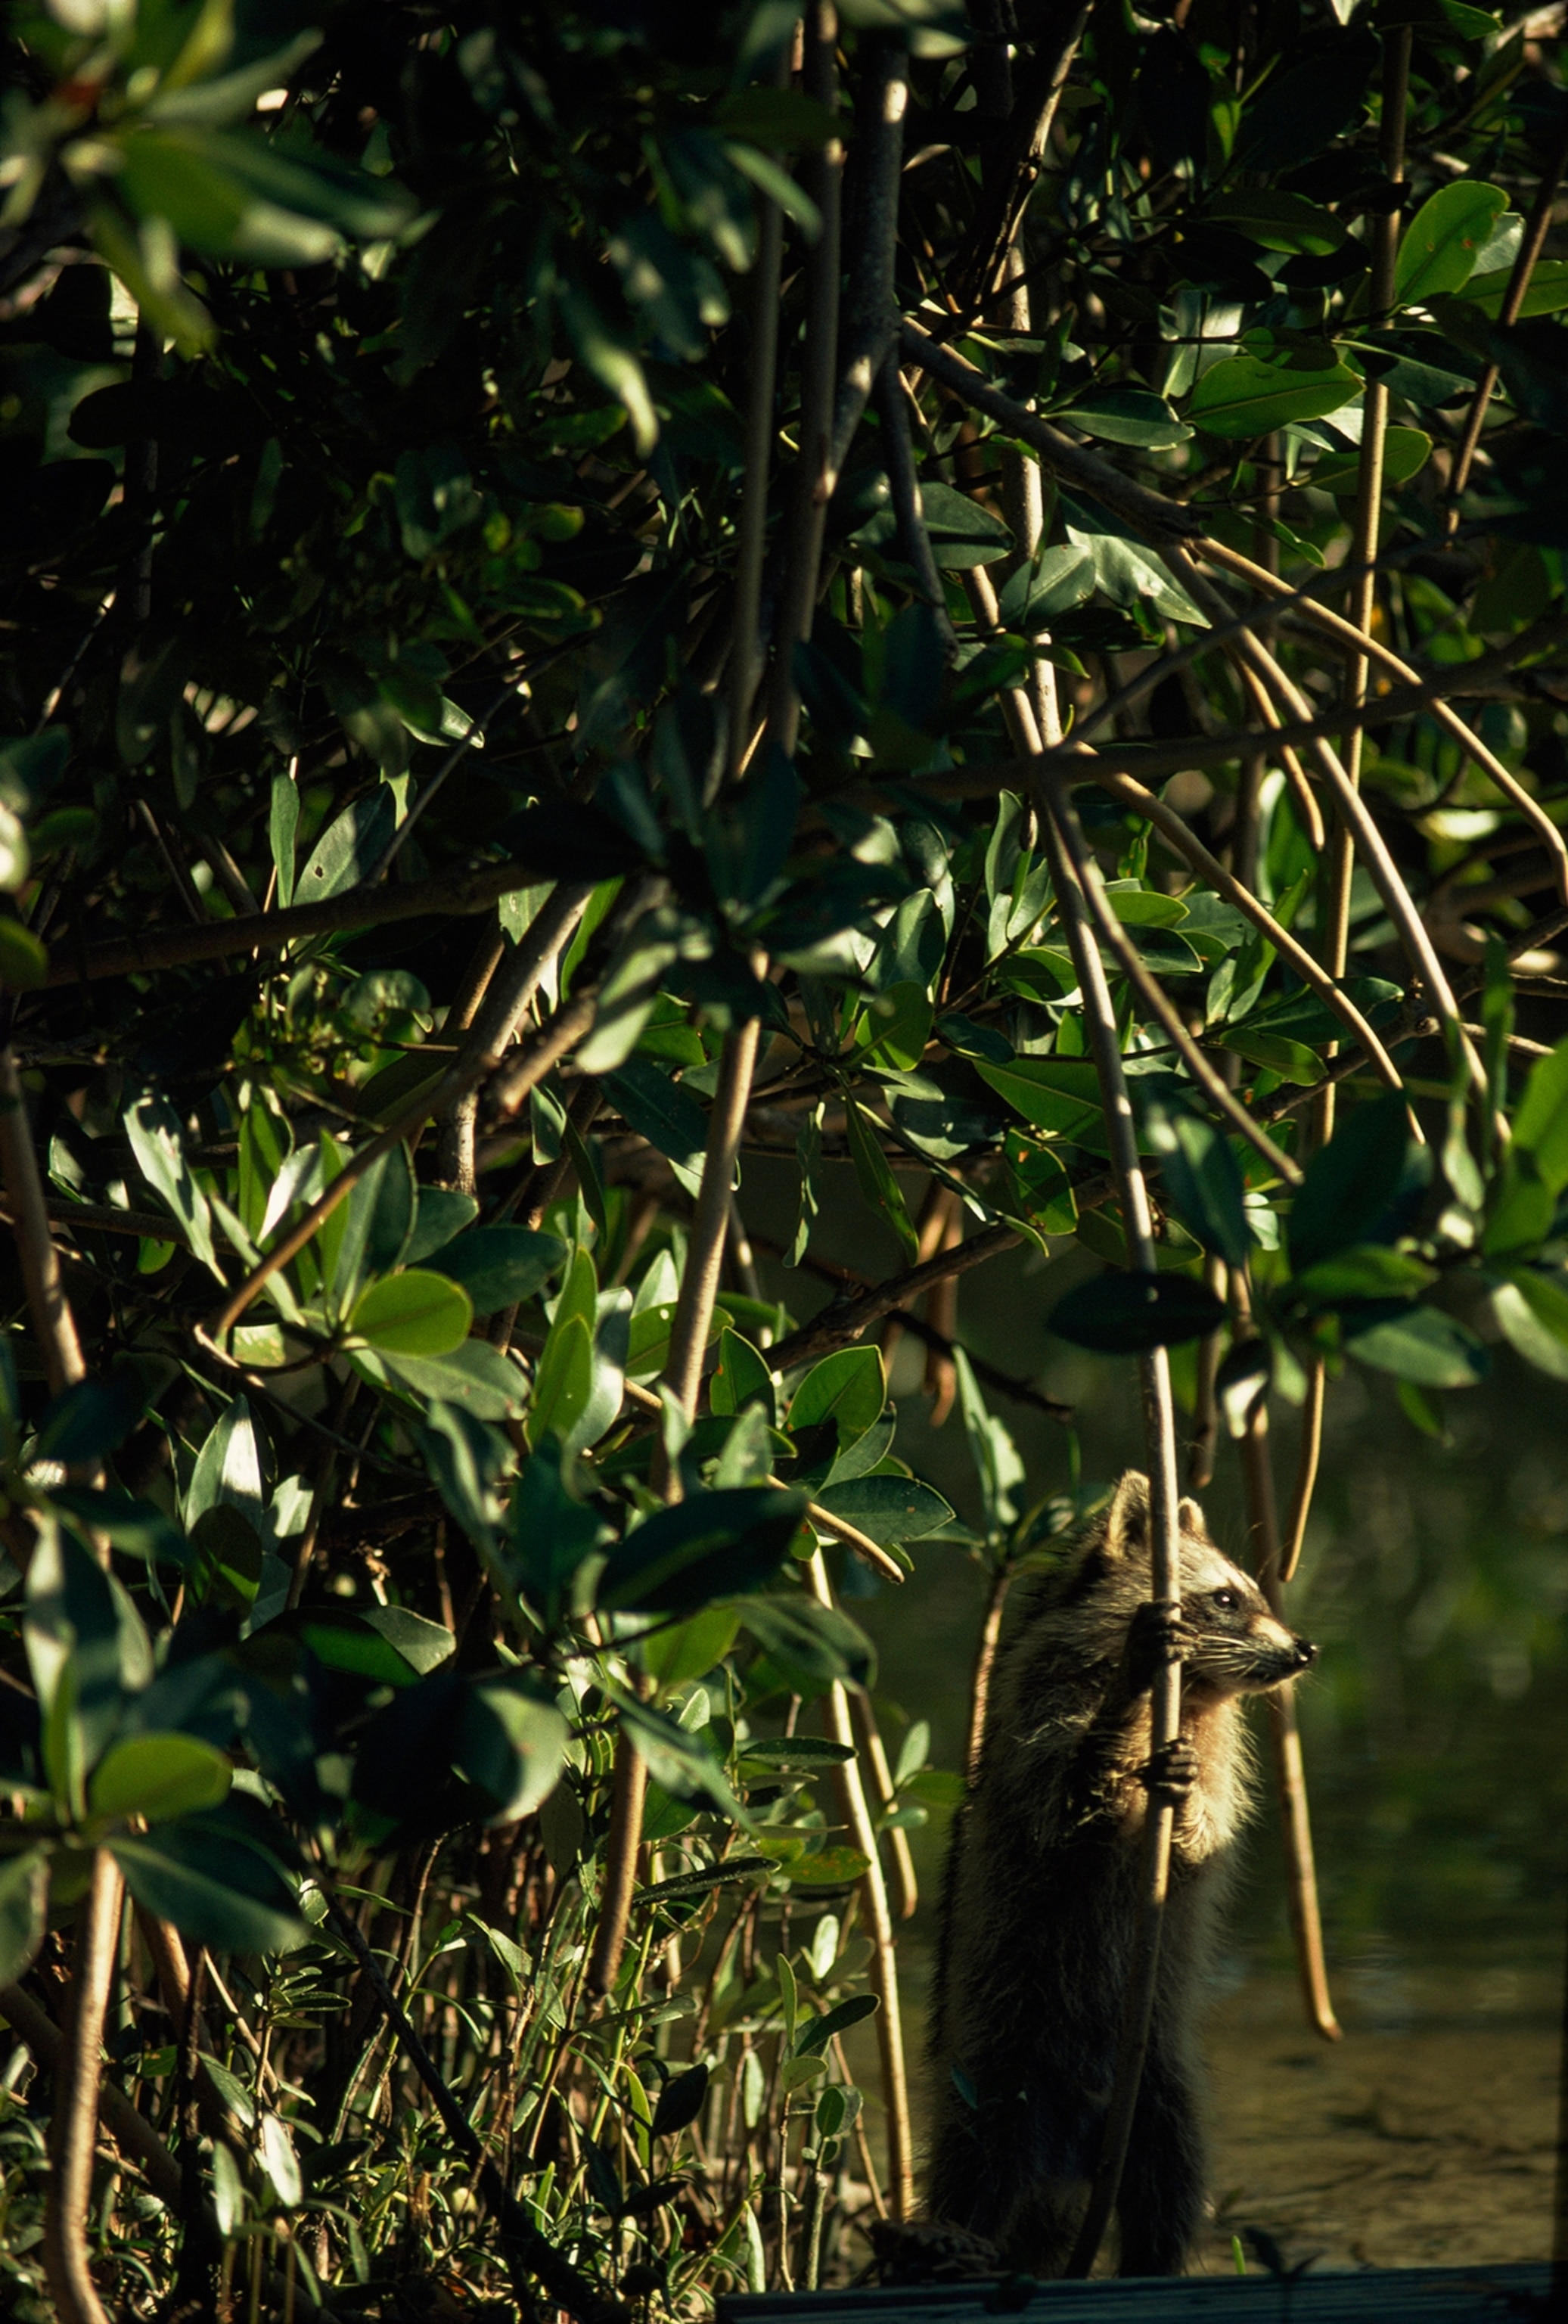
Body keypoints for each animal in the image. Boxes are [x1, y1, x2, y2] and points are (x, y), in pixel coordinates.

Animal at [925, 1471, 1315, 2279]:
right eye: (1225, 1598)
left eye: (1247, 1594)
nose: (1305, 1650)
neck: (1191, 1690)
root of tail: (1065, 2172)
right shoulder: (1034, 1719)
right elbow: (1065, 1809)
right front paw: (1126, 1701)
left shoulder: (1218, 1748)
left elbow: (1209, 1836)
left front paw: (1190, 1816)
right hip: (996, 2074)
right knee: (975, 2174)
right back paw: (952, 2240)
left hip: (1160, 2093)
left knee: (1170, 2187)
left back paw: (1151, 2262)